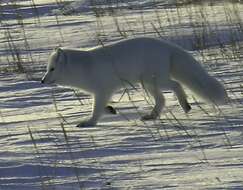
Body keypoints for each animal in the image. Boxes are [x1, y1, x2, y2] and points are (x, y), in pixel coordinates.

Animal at [41, 37, 228, 127]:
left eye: (52, 69)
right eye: (47, 68)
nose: (42, 81)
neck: (85, 67)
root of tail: (167, 46)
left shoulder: (102, 90)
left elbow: (96, 109)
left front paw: (89, 123)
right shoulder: (103, 92)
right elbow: (102, 107)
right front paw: (111, 110)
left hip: (153, 80)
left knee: (176, 85)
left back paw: (185, 105)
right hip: (147, 83)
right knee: (162, 99)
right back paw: (152, 116)